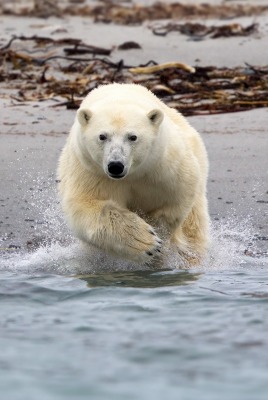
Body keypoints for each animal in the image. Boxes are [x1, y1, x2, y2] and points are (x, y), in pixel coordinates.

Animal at [58, 83, 209, 266]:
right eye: (102, 136)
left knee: (193, 225)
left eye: (133, 137)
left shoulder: (163, 165)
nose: (116, 166)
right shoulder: (91, 171)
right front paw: (145, 242)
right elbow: (85, 204)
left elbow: (177, 198)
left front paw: (157, 237)